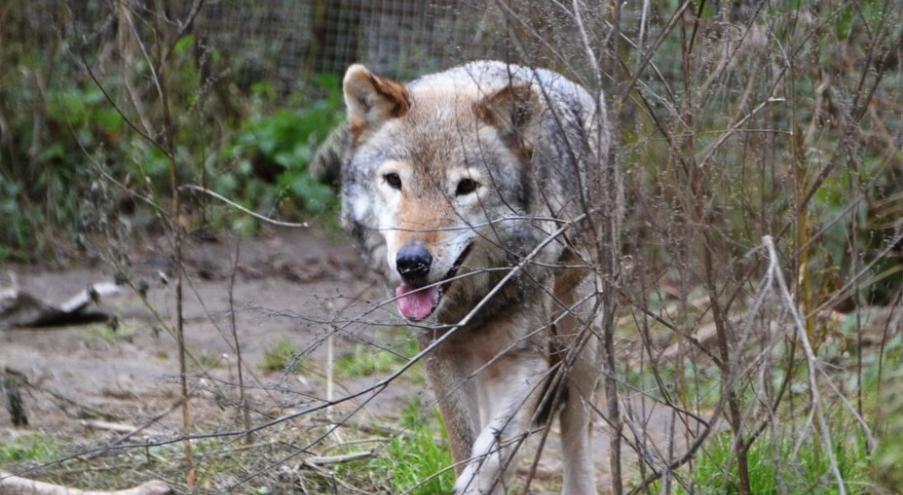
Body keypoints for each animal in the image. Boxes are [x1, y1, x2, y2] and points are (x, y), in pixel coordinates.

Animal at [314, 62, 612, 495]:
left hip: (580, 342)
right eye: (394, 181)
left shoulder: (527, 362)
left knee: (576, 429)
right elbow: (466, 443)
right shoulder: (440, 357)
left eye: (466, 187)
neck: (471, 301)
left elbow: (492, 454)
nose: (412, 263)